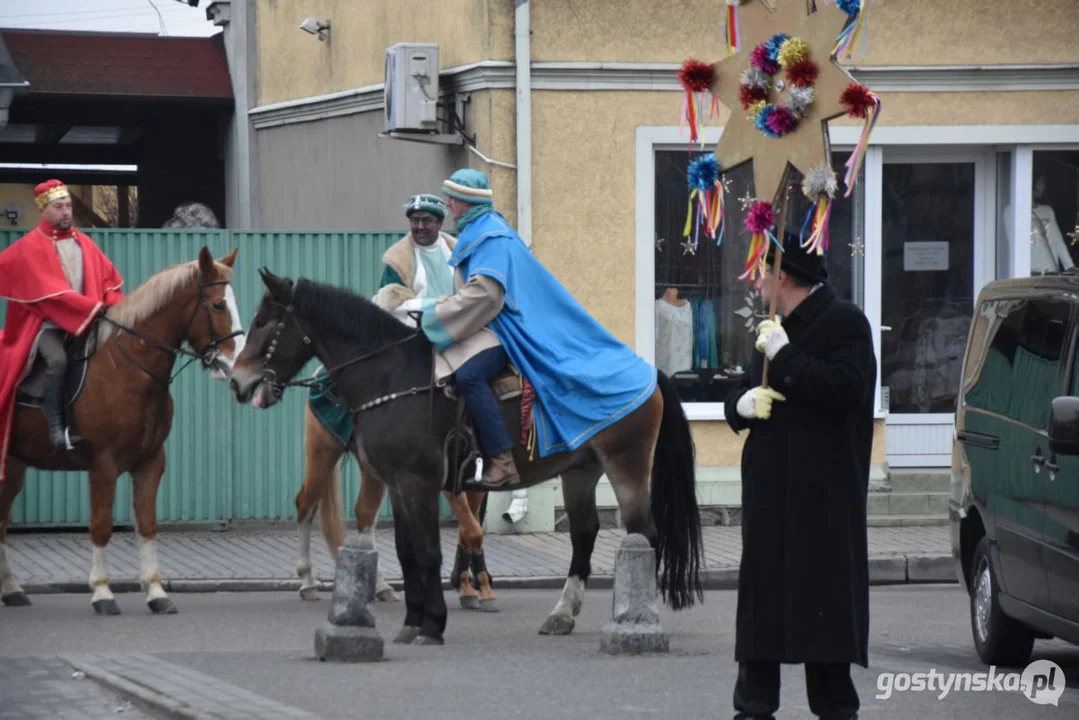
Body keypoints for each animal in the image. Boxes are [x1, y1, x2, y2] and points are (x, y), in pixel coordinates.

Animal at [0, 246, 244, 613]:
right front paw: (102, 592)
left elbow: (147, 525)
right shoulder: (103, 464)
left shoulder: (150, 462)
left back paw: (11, 589)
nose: (235, 366)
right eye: (217, 305)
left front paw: (156, 593)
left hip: (13, 464)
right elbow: (101, 526)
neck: (128, 368)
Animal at [295, 403, 496, 613]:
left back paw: (379, 586)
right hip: (323, 452)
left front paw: (473, 588)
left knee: (365, 513)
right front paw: (477, 590)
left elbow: (468, 530)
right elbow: (473, 531)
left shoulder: (476, 483)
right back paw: (308, 582)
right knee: (305, 506)